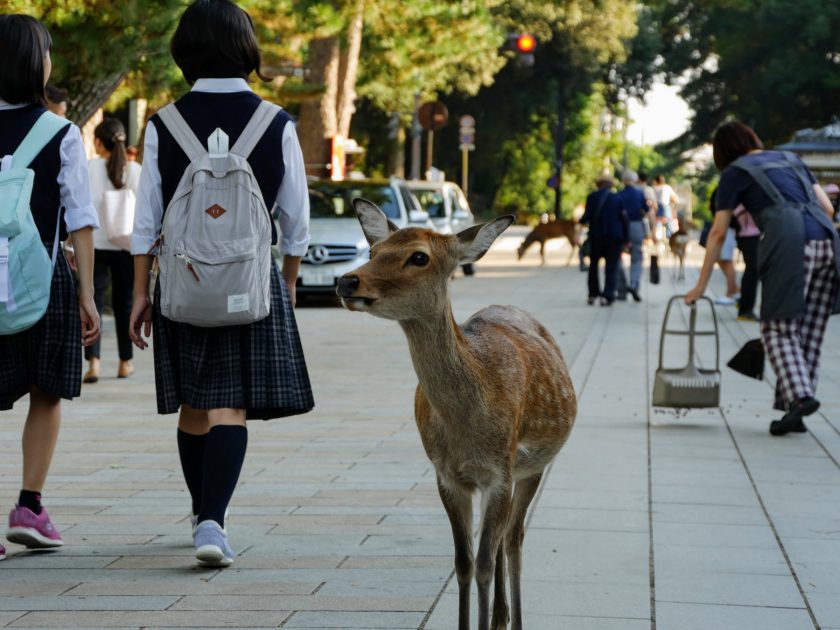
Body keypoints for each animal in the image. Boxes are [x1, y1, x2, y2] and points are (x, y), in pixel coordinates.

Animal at [336, 199, 576, 630]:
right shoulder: (447, 475)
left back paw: (513, 617)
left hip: (534, 466)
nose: (347, 282)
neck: (467, 429)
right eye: (374, 251)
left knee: (513, 539)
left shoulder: (500, 471)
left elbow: (482, 564)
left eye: (419, 256)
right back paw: (500, 615)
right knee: (498, 540)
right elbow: (463, 563)